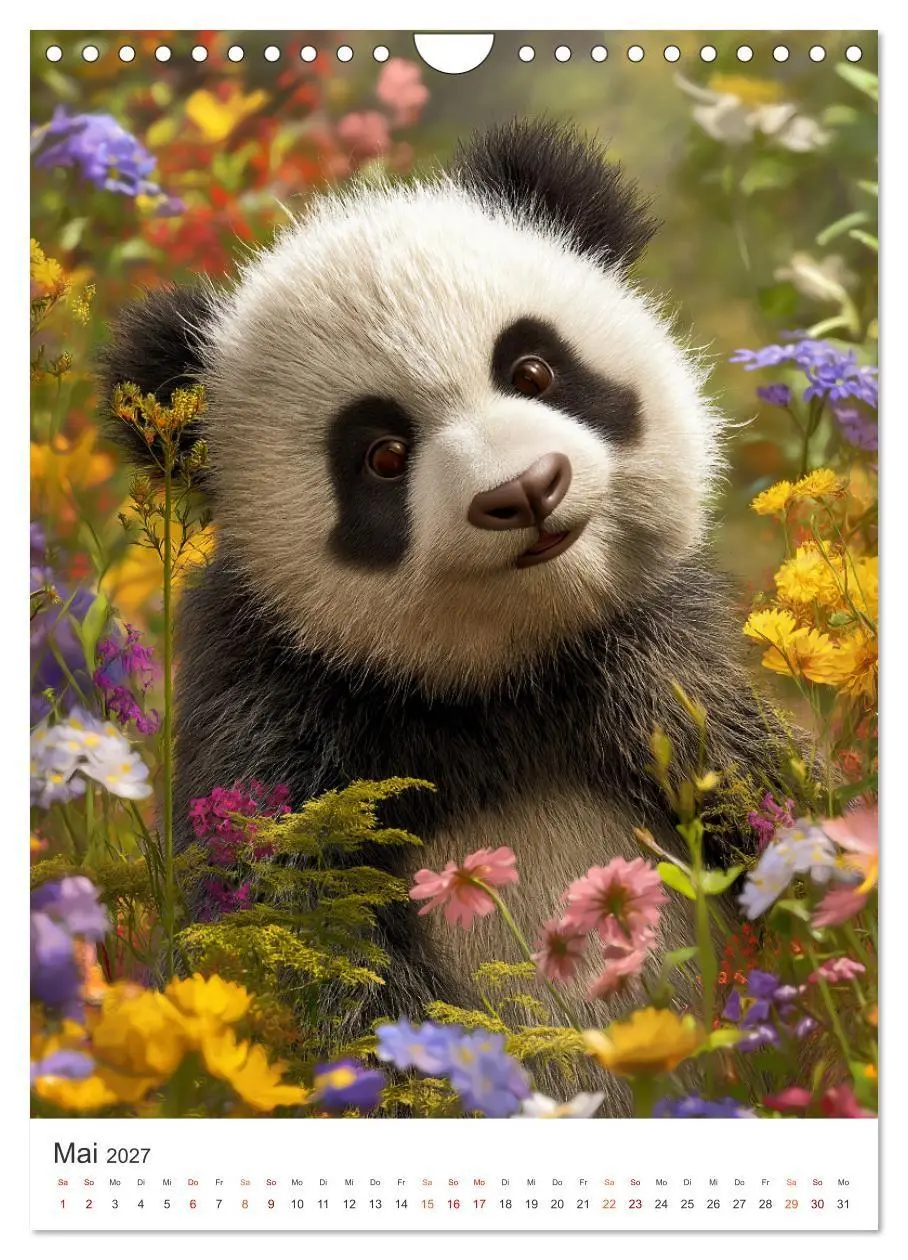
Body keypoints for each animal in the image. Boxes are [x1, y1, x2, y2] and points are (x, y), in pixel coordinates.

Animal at [103, 120, 790, 1110]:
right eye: (383, 454)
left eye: (532, 367)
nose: (526, 491)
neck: (495, 682)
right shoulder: (278, 715)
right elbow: (308, 944)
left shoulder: (657, 668)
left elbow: (760, 798)